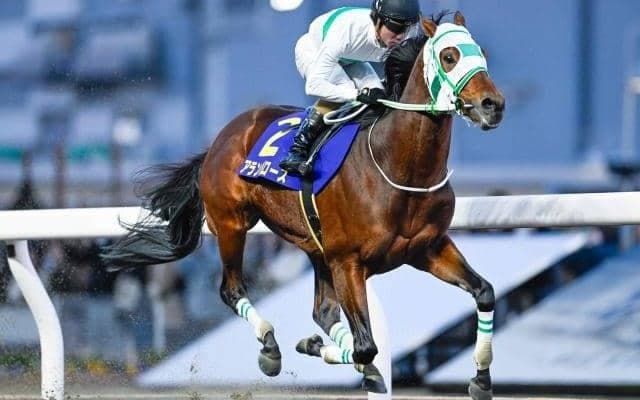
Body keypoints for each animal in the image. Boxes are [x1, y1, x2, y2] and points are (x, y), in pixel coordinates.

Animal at [103, 11, 504, 399]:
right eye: (449, 56)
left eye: (482, 53)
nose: (493, 105)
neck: (397, 166)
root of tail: (222, 136)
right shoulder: (348, 261)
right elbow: (366, 346)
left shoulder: (428, 248)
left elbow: (484, 292)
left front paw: (482, 378)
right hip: (232, 224)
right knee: (232, 289)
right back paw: (270, 346)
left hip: (314, 247)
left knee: (323, 312)